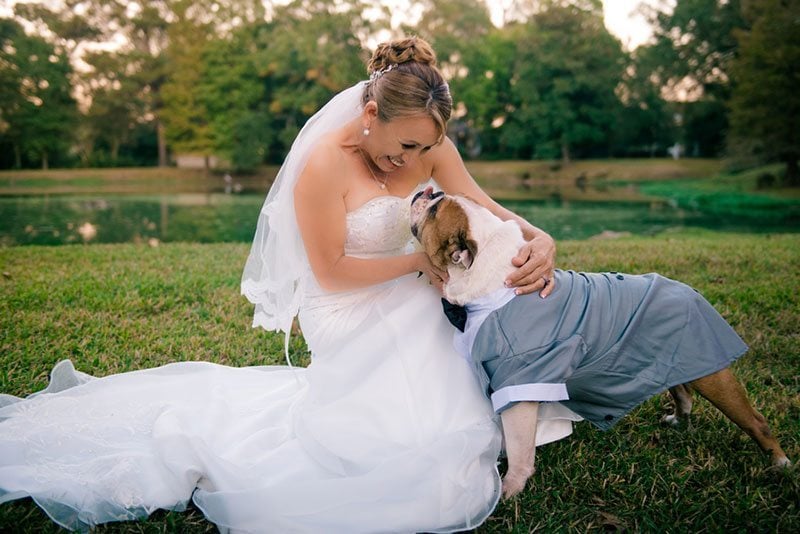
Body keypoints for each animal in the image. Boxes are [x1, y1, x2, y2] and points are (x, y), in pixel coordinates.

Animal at [410, 186, 792, 500]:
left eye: (435, 210)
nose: (427, 190)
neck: (495, 278)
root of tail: (688, 289)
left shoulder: (519, 379)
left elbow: (519, 445)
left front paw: (509, 489)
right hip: (674, 356)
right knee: (682, 389)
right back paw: (678, 421)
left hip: (713, 374)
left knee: (754, 419)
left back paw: (779, 462)